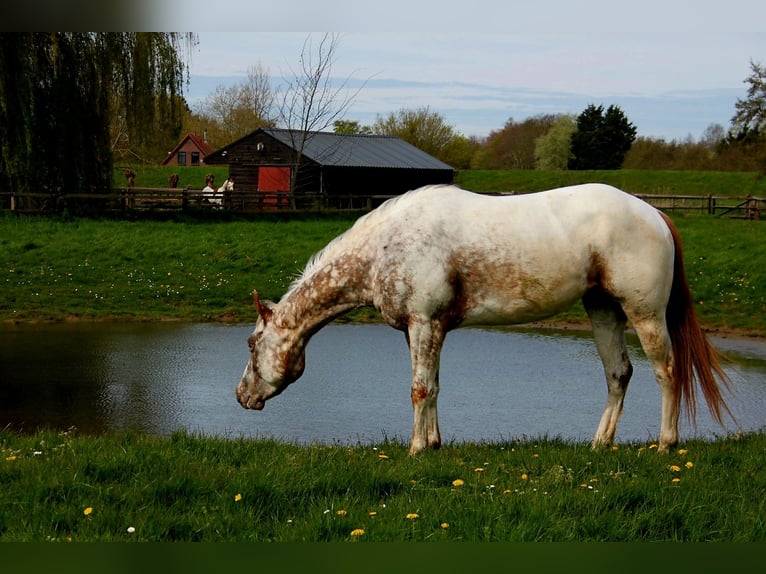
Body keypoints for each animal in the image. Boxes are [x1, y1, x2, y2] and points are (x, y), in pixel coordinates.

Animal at [236, 184, 732, 454]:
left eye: (251, 343)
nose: (242, 396)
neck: (384, 248)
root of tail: (655, 212)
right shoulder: (425, 329)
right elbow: (433, 387)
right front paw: (434, 444)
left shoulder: (424, 323)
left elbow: (419, 389)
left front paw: (415, 448)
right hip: (604, 309)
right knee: (618, 374)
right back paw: (600, 444)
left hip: (644, 313)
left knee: (667, 372)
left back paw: (666, 443)